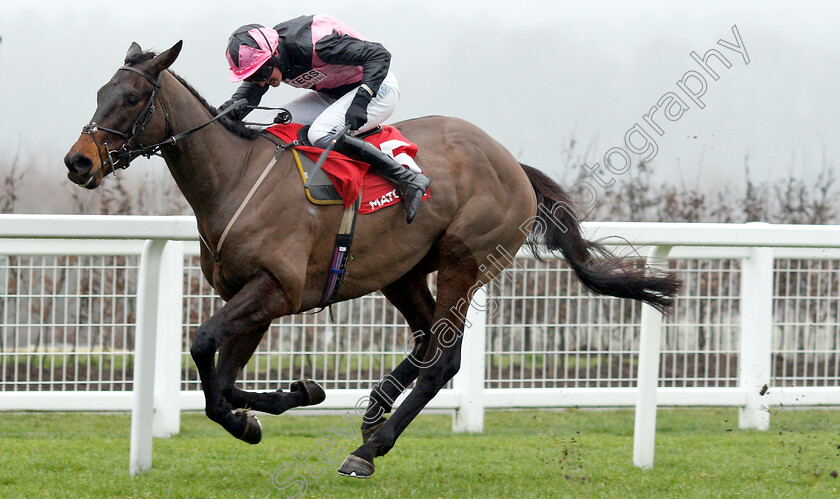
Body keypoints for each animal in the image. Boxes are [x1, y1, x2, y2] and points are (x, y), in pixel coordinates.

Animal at [65, 41, 684, 478]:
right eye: (96, 93)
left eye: (131, 98)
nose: (78, 162)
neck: (235, 179)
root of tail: (512, 164)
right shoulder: (254, 297)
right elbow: (225, 382)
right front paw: (278, 404)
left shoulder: (274, 289)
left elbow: (202, 348)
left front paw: (266, 411)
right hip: (403, 272)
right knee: (428, 342)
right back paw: (374, 410)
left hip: (464, 262)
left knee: (443, 359)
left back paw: (370, 447)